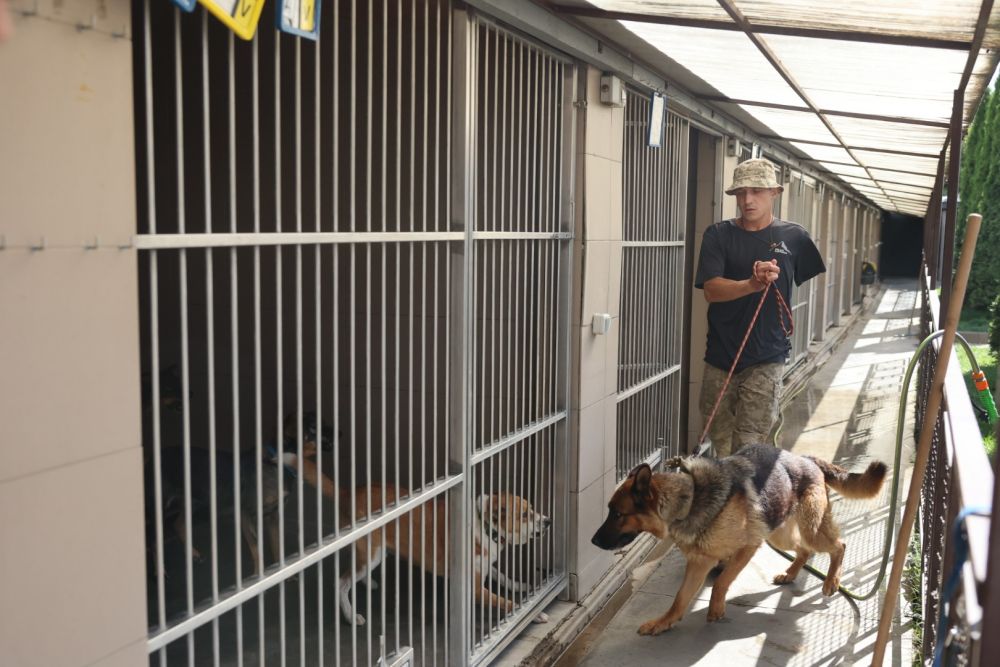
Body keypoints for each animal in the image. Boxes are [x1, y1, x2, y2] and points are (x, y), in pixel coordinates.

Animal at [278, 451, 551, 626]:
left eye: (532, 508)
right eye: (525, 515)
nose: (548, 521)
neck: (484, 525)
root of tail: (348, 493)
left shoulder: (484, 565)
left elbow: (504, 578)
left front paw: (523, 586)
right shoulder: (473, 589)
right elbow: (506, 602)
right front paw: (534, 613)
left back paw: (369, 583)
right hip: (372, 552)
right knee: (341, 583)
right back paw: (351, 615)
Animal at [591, 444, 886, 635]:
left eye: (618, 514)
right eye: (610, 510)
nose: (593, 542)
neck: (690, 499)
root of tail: (806, 458)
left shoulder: (748, 547)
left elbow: (721, 582)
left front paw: (715, 609)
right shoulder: (699, 561)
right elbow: (680, 597)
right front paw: (664, 622)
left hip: (808, 530)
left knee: (839, 545)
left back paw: (832, 580)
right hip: (778, 535)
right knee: (803, 550)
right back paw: (791, 574)